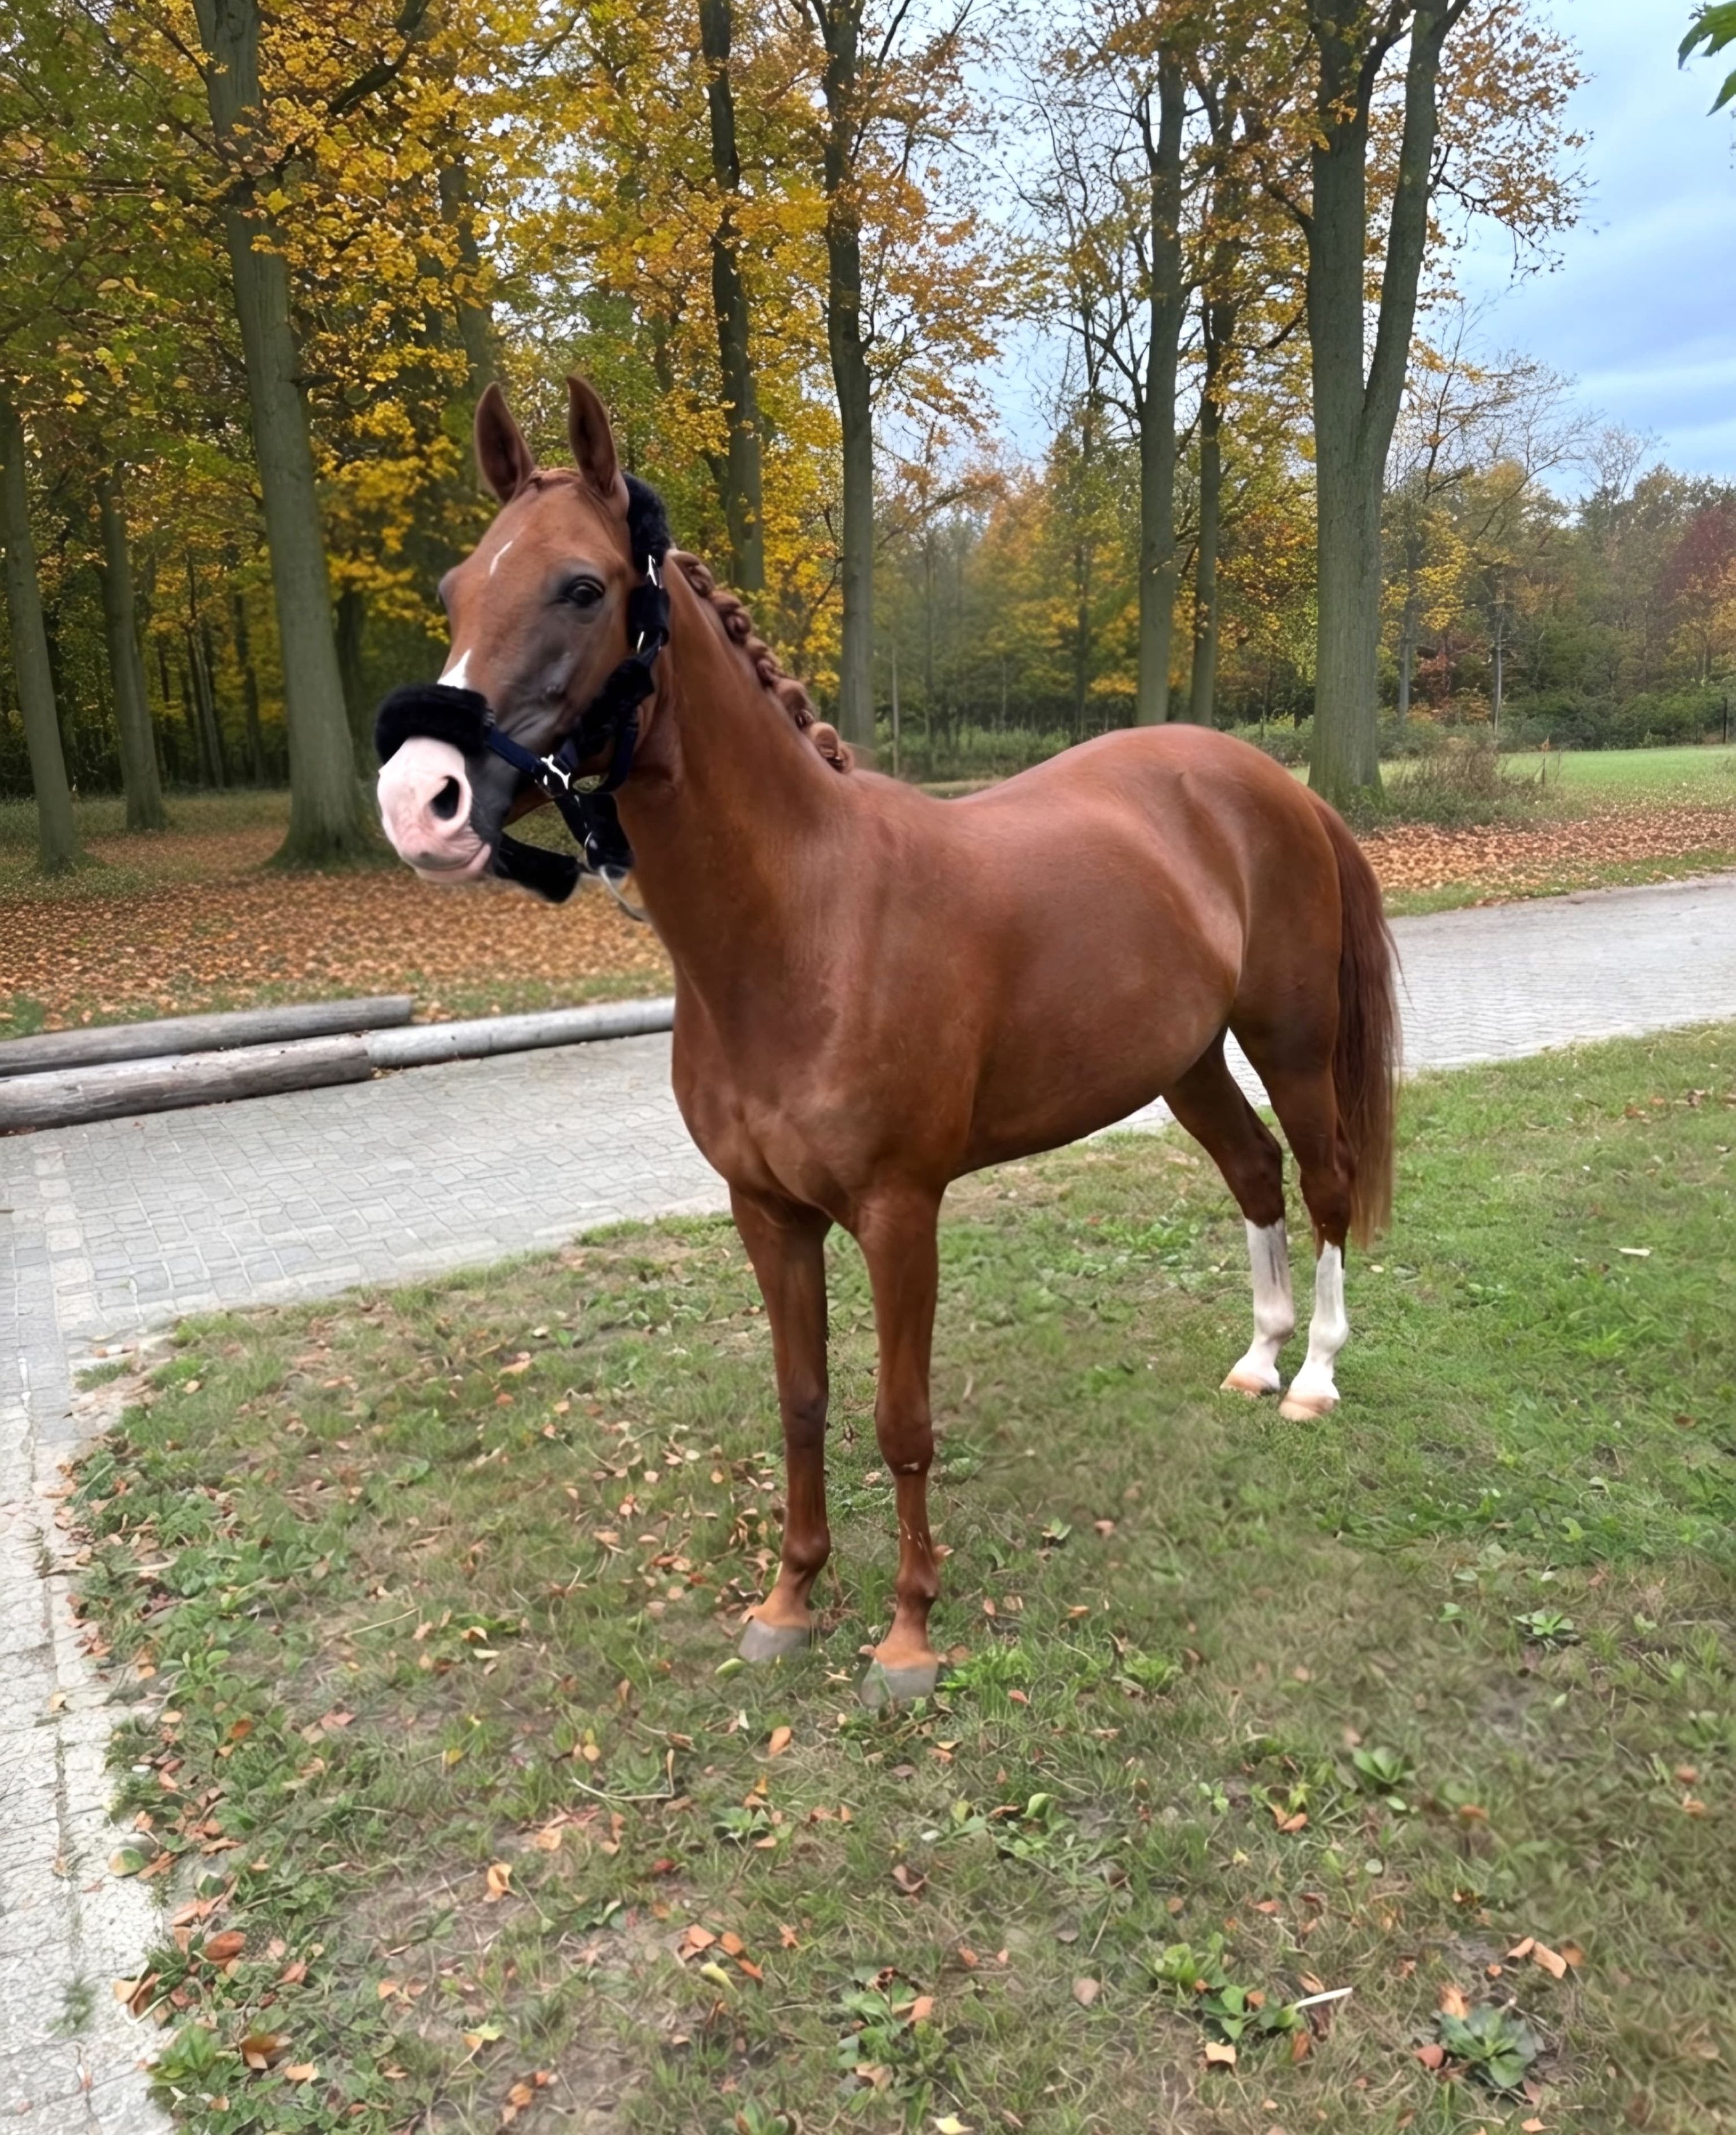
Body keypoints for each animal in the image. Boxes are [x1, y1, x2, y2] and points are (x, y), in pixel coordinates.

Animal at [376, 377, 1399, 1705]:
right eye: (457, 589)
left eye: (581, 587)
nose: (421, 800)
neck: (809, 926)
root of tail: (1271, 783)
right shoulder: (768, 1213)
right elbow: (803, 1402)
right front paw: (790, 1598)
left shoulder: (901, 1211)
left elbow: (900, 1418)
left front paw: (909, 1630)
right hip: (1185, 1060)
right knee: (1254, 1172)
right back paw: (1258, 1358)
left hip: (1290, 1036)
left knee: (1322, 1179)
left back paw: (1314, 1375)